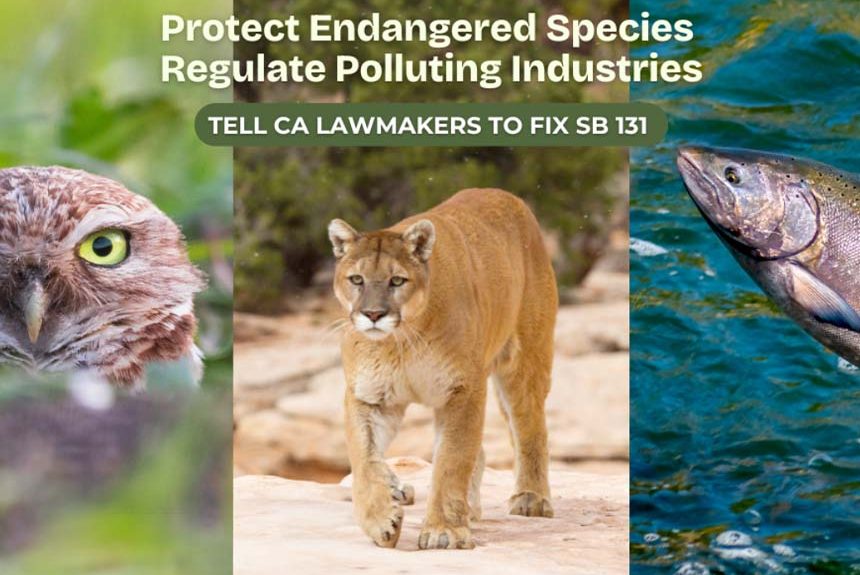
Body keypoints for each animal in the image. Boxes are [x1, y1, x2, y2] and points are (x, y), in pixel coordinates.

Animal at [328, 188, 557, 550]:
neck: (402, 342)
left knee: (530, 428)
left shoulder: (462, 390)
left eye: (397, 280)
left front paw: (443, 531)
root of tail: (507, 196)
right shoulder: (368, 396)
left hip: (525, 360)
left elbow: (451, 459)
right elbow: (364, 459)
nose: (374, 314)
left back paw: (530, 499)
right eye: (356, 279)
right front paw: (382, 519)